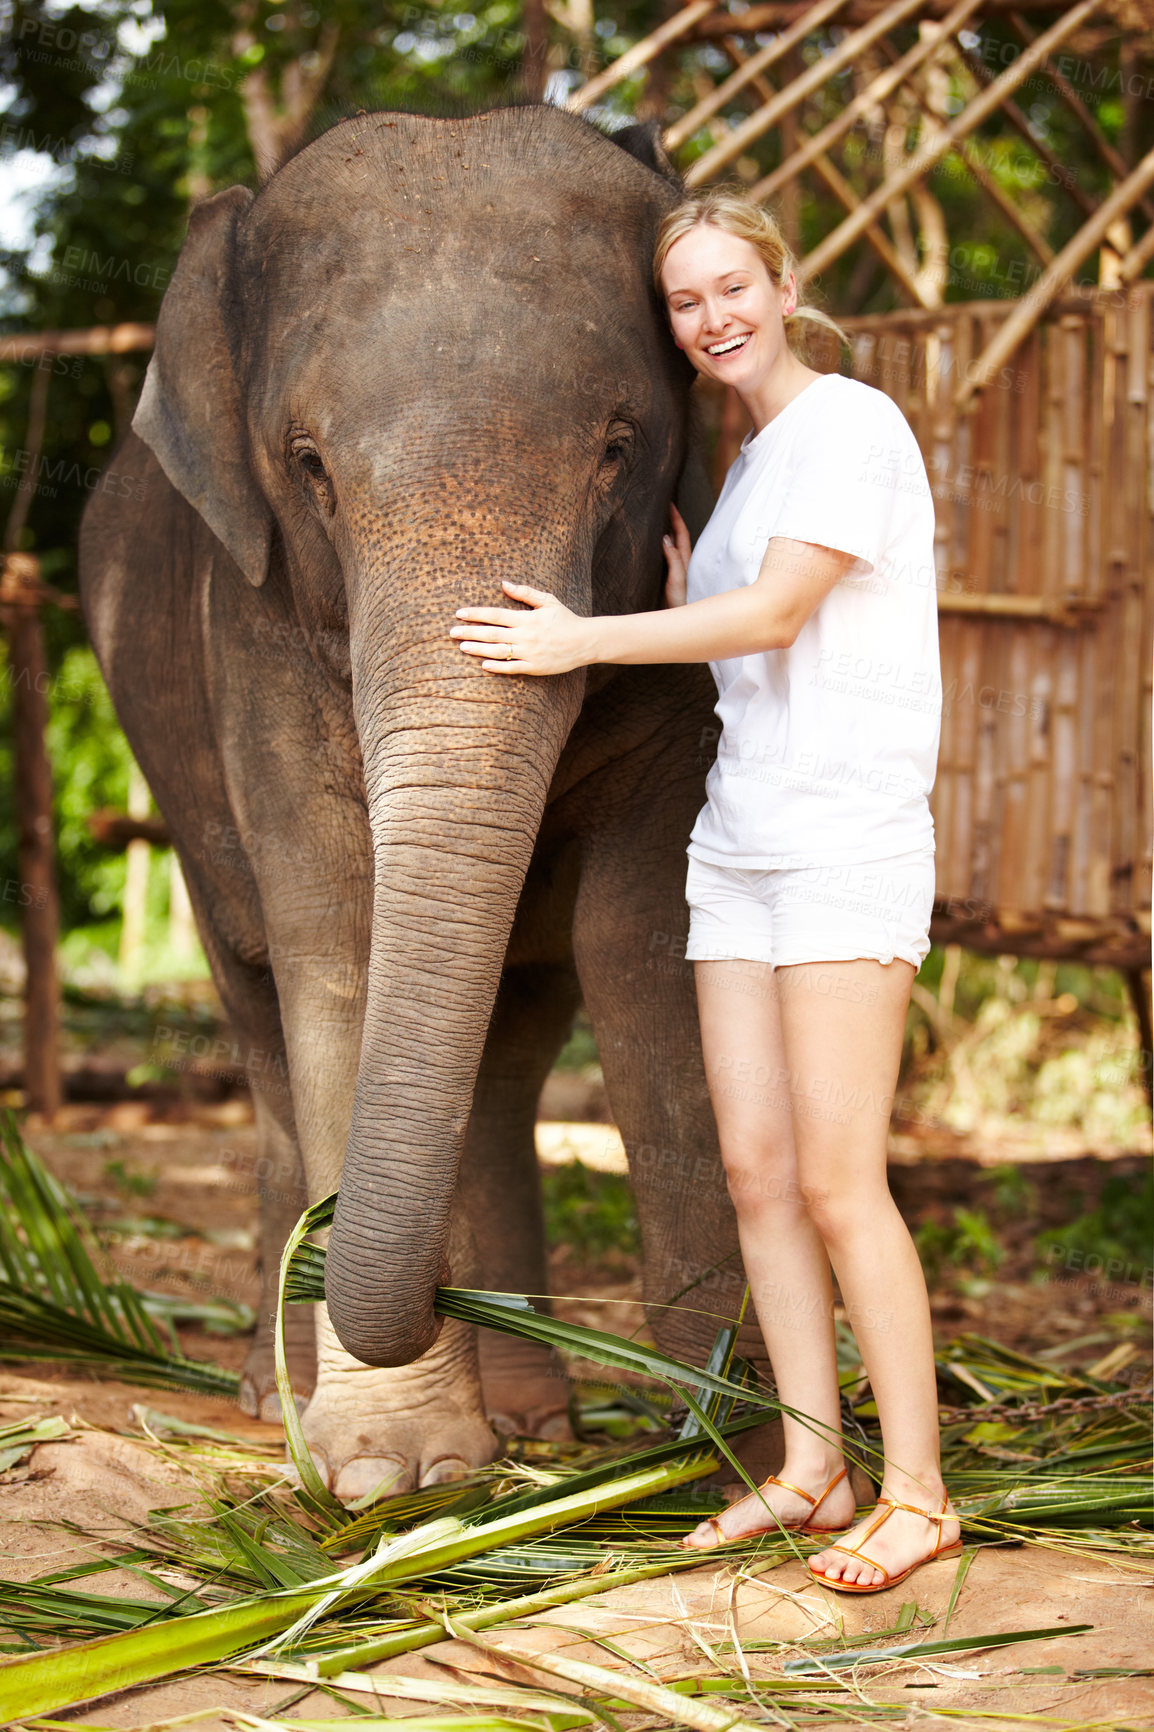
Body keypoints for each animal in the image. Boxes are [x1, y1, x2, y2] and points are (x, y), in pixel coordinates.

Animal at [78, 98, 772, 1503]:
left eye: (618, 448)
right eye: (308, 465)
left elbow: (639, 936)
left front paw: (739, 1458)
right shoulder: (255, 626)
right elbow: (336, 932)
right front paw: (388, 1474)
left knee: (511, 1041)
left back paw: (535, 1418)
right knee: (257, 1000)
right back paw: (275, 1393)